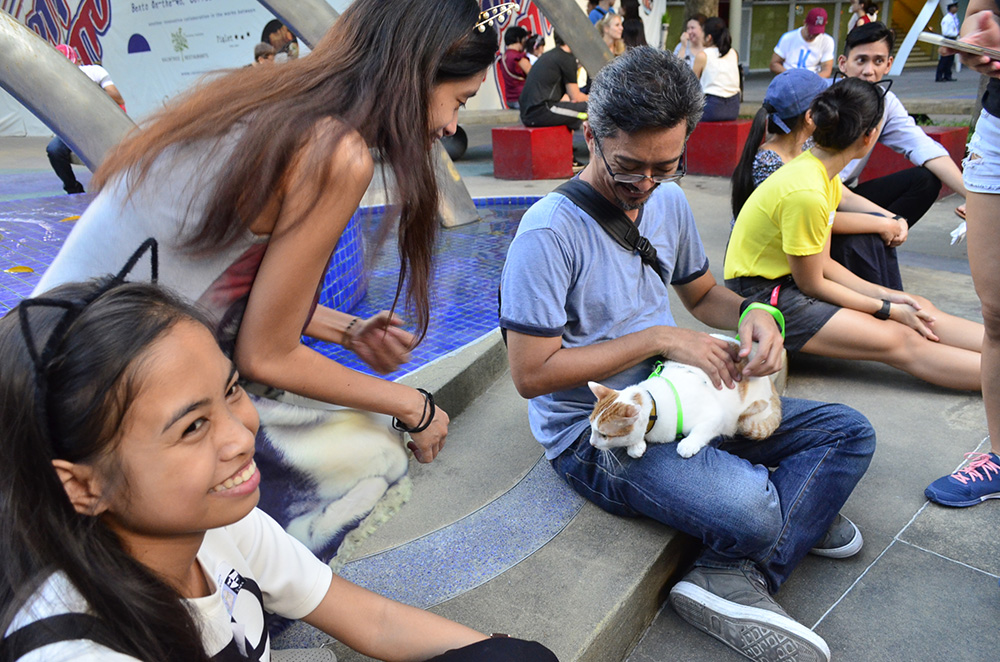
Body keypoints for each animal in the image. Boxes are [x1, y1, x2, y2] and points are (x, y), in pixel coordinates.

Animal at [584, 340, 780, 460]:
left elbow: (702, 429)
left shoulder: (716, 415)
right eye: (591, 427)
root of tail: (771, 383)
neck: (655, 406)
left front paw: (688, 444)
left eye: (604, 435)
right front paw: (636, 446)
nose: (591, 443)